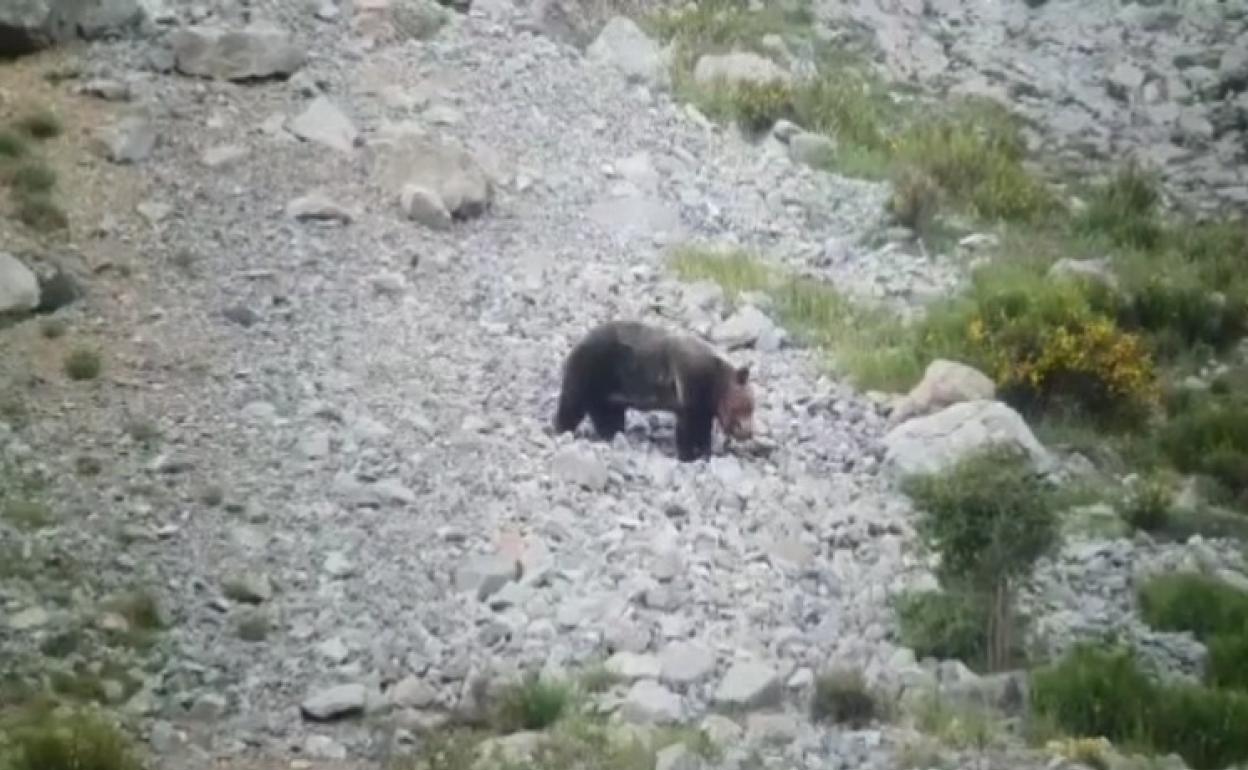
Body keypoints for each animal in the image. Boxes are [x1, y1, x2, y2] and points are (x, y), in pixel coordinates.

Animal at [559, 319, 758, 461]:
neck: (716, 385)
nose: (747, 432)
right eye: (746, 407)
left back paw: (612, 434)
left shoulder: (704, 402)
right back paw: (562, 428)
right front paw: (689, 454)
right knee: (573, 401)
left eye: (752, 408)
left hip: (608, 392)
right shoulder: (691, 382)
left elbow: (700, 426)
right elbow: (690, 425)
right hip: (594, 368)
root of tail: (579, 342)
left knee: (607, 415)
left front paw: (704, 451)